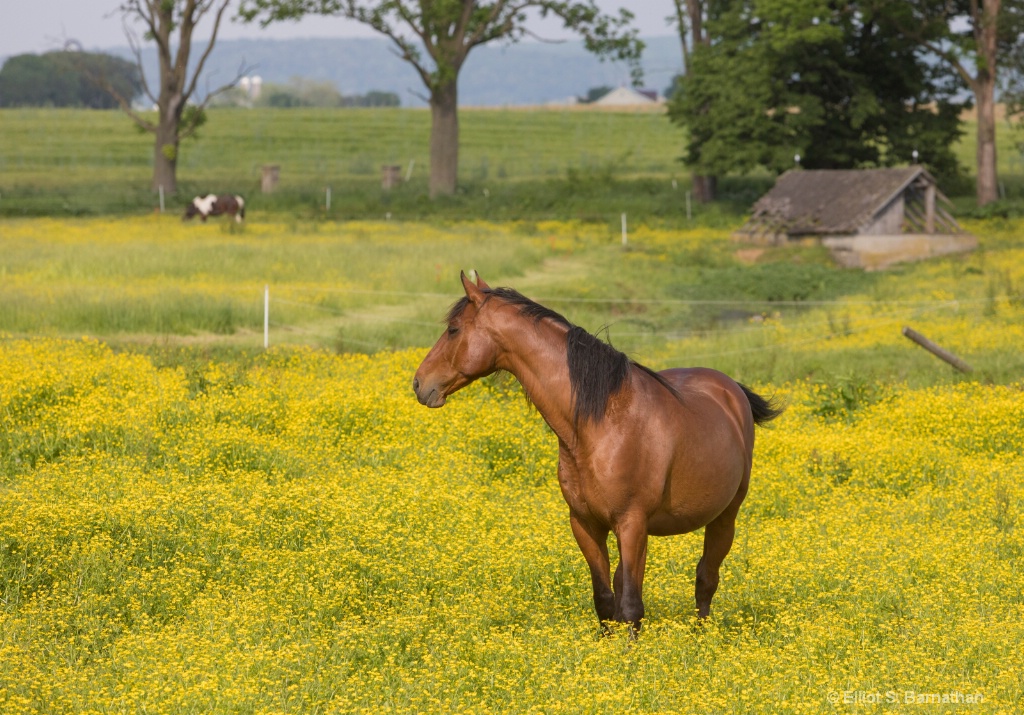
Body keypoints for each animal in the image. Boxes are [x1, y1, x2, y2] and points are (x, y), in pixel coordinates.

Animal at [411, 272, 778, 631]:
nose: (419, 383)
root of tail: (730, 390)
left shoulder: (632, 525)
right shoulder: (585, 524)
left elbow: (631, 606)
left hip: (725, 517)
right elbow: (605, 600)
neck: (602, 424)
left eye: (453, 329)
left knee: (706, 579)